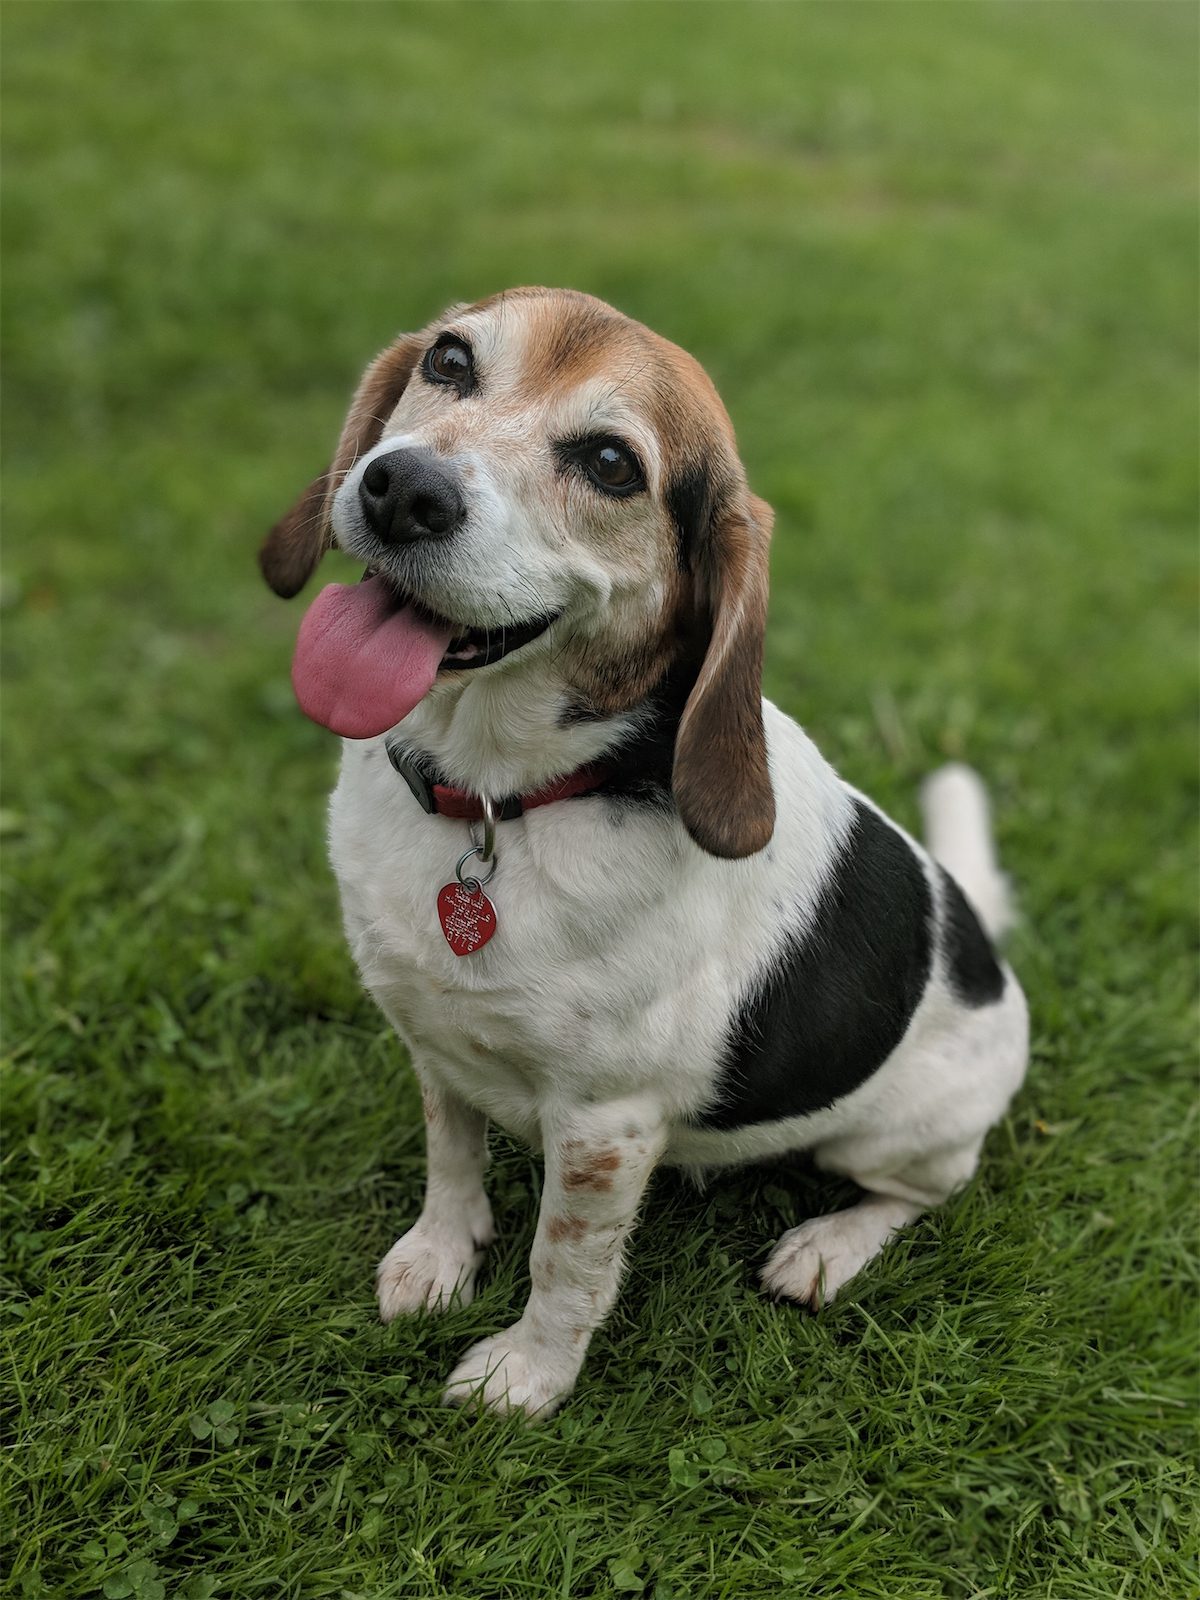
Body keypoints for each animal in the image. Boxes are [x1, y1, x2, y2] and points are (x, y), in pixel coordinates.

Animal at [259, 284, 1030, 1414]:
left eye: (613, 464)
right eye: (449, 361)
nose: (403, 489)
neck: (497, 803)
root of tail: (981, 945)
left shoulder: (604, 1125)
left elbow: (565, 1263)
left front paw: (527, 1376)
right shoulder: (434, 1042)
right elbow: (451, 1151)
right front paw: (441, 1253)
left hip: (896, 1131)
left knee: (916, 1193)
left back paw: (827, 1248)